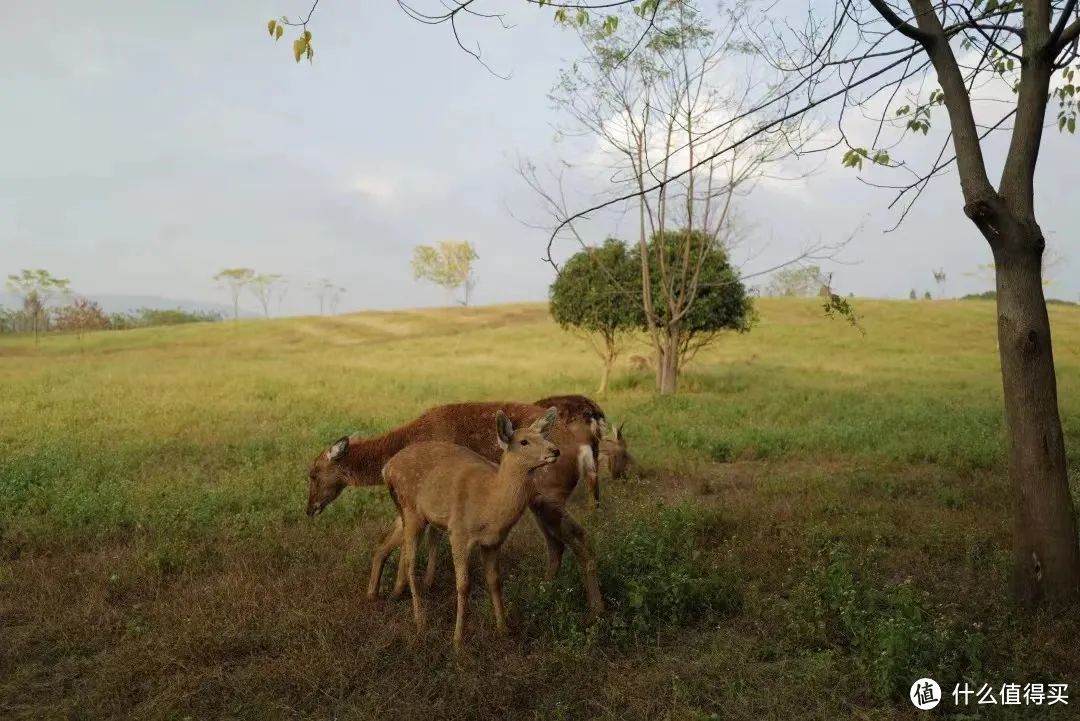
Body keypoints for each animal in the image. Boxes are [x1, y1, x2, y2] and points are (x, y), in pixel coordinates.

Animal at [384, 405, 561, 647]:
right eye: (524, 441)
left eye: (543, 436)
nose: (555, 450)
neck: (490, 506)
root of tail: (387, 468)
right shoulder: (458, 531)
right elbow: (463, 585)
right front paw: (458, 640)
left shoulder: (493, 542)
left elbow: (495, 581)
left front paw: (504, 629)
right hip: (412, 510)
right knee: (411, 562)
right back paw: (420, 622)